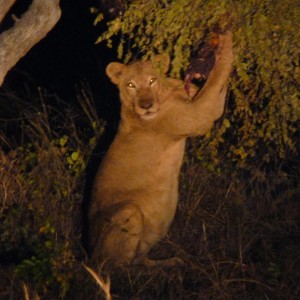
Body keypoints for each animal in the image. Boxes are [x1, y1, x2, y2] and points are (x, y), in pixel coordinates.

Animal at [88, 31, 233, 268]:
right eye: (130, 85)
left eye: (152, 80)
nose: (146, 106)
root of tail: (89, 254)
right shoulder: (199, 114)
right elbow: (218, 76)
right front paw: (225, 37)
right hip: (128, 213)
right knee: (119, 266)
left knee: (140, 260)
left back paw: (171, 261)